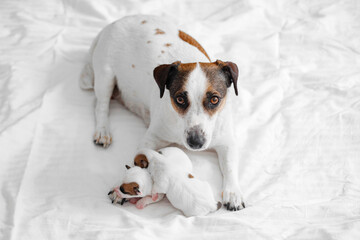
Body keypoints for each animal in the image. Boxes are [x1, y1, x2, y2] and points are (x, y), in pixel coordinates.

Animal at [81, 14, 245, 210]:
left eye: (214, 99)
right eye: (179, 99)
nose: (196, 142)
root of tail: (113, 23)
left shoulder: (227, 142)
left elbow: (229, 166)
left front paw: (233, 193)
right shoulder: (150, 139)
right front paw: (121, 190)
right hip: (105, 75)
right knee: (101, 105)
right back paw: (103, 131)